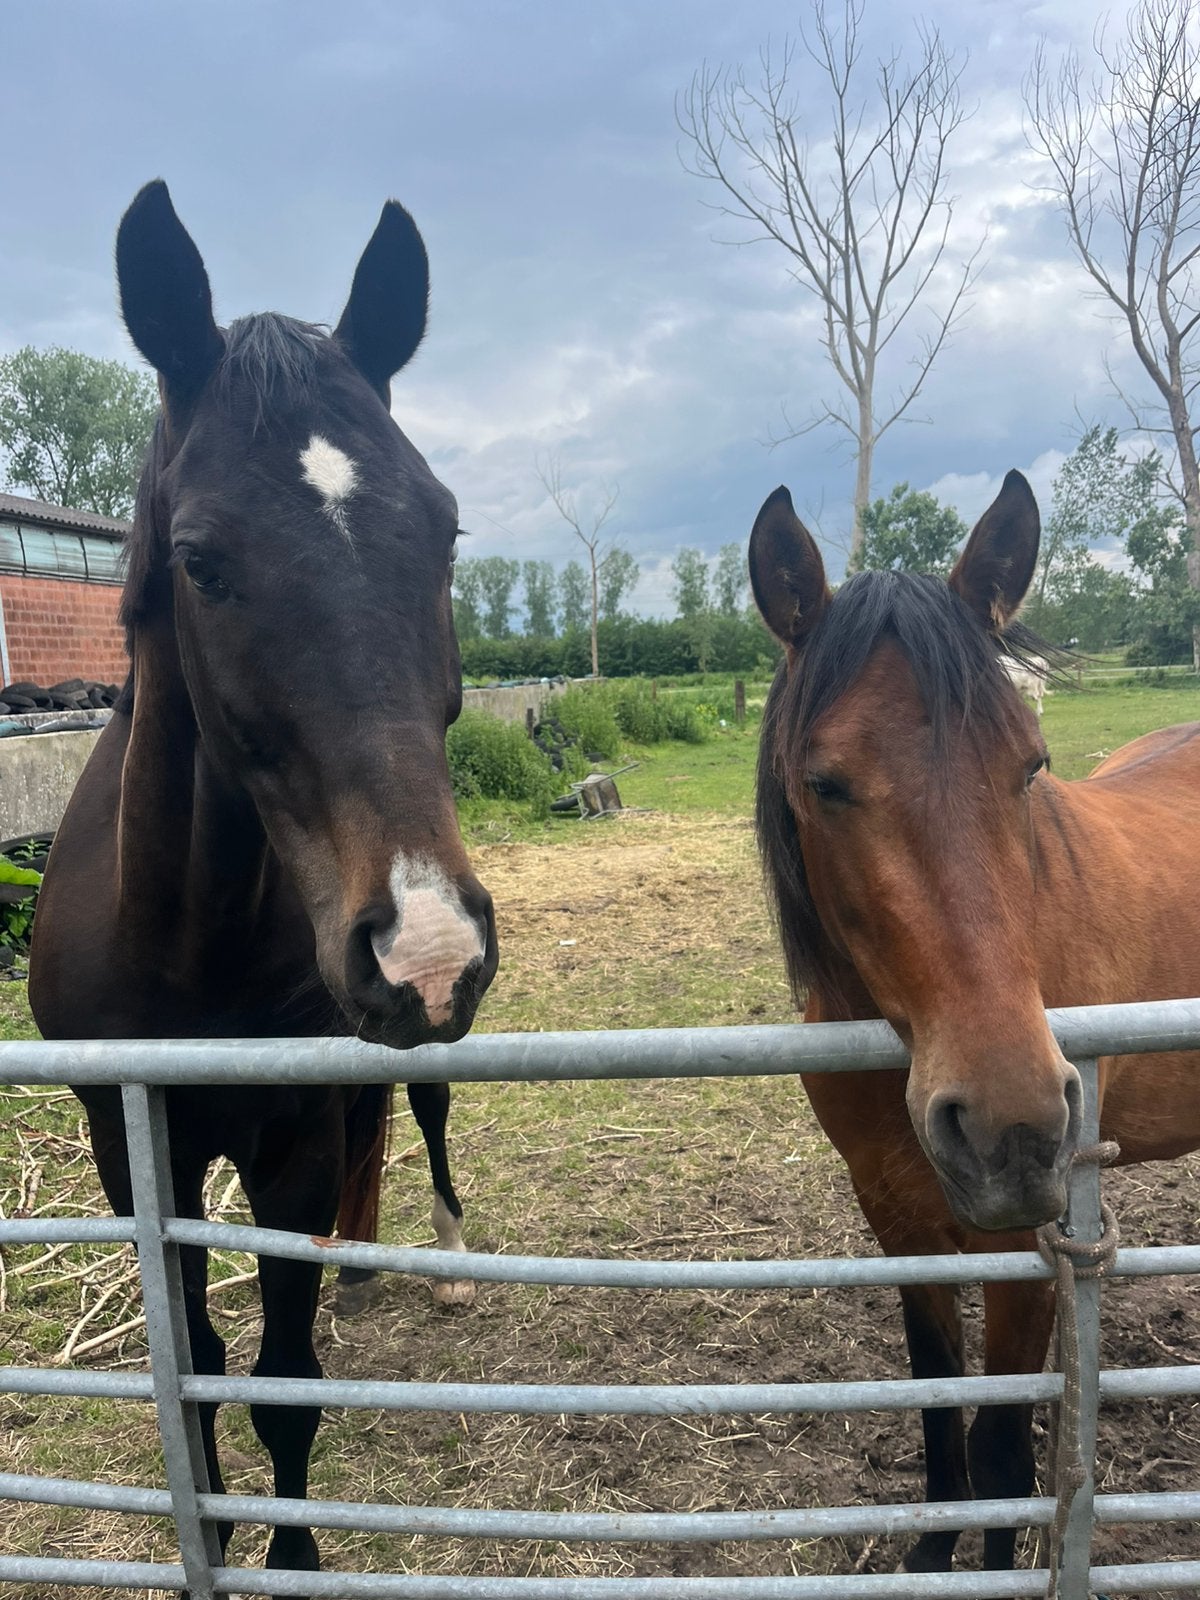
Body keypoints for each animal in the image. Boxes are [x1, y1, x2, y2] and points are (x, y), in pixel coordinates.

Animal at [28, 181, 498, 1592]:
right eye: (203, 560)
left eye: (444, 531)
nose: (426, 947)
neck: (189, 946)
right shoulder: (135, 1150)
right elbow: (191, 1368)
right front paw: (220, 1533)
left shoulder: (288, 1137)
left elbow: (285, 1382)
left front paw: (290, 1551)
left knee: (420, 1118)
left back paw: (436, 1255)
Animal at [750, 470, 1200, 1575]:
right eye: (825, 783)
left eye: (1029, 765)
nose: (1013, 1125)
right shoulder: (899, 1217)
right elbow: (937, 1405)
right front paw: (931, 1552)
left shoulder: (1031, 1243)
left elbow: (1000, 1443)